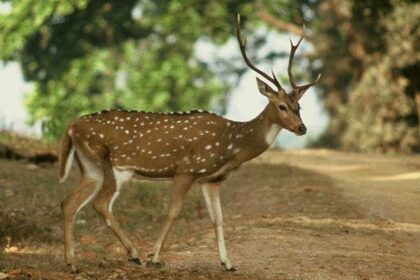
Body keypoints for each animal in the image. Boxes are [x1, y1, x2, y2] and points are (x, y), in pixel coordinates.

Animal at [59, 14, 320, 272]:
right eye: (282, 106)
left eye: (299, 106)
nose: (302, 128)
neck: (232, 145)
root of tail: (71, 126)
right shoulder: (186, 169)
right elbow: (173, 212)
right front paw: (155, 257)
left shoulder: (211, 179)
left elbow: (218, 217)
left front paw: (227, 263)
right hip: (115, 164)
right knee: (100, 204)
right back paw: (133, 255)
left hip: (91, 166)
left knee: (69, 202)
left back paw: (73, 262)